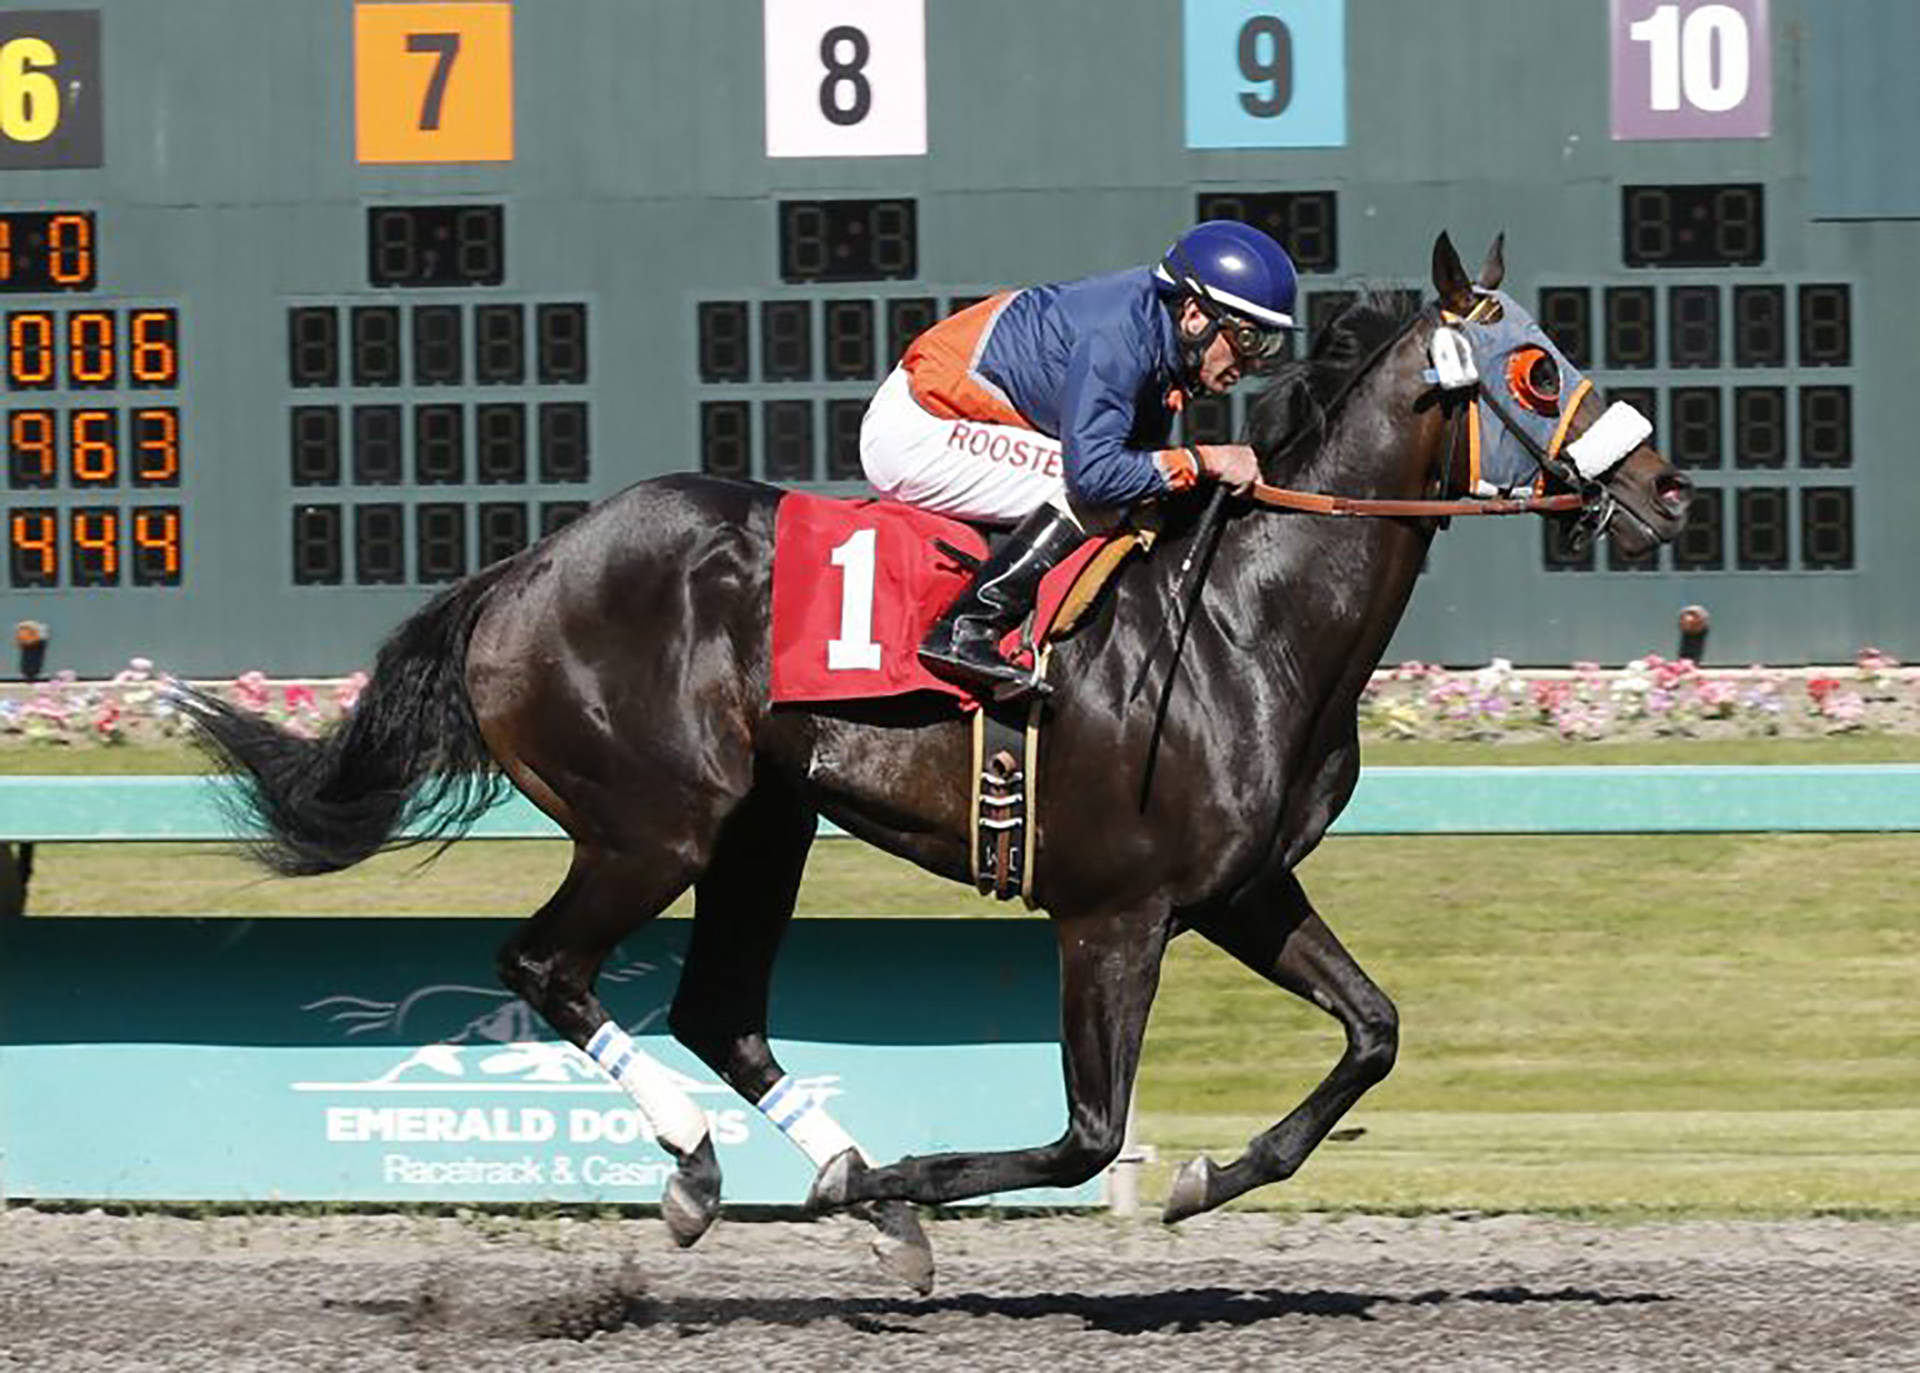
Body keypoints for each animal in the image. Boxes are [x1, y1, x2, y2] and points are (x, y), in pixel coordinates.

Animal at [180, 231, 1681, 1298]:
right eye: (1537, 370)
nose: (1664, 488)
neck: (1251, 615)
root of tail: (523, 566)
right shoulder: (1113, 913)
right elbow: (1086, 1134)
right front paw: (913, 1177)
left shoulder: (1239, 889)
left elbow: (1372, 1031)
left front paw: (1204, 1173)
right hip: (656, 825)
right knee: (546, 965)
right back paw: (714, 1169)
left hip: (762, 827)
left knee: (717, 1007)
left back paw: (845, 1178)